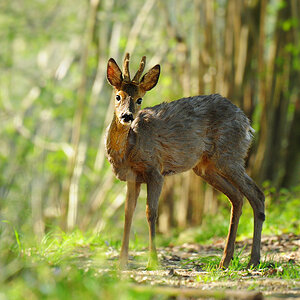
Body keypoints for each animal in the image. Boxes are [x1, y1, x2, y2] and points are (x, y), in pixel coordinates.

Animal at [105, 53, 264, 270]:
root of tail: (248, 124)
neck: (131, 146)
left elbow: (151, 213)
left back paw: (253, 260)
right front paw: (121, 262)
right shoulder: (132, 178)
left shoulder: (155, 170)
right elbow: (128, 213)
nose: (126, 116)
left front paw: (153, 261)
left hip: (229, 154)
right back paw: (225, 260)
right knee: (237, 197)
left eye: (139, 99)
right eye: (118, 96)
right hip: (206, 167)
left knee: (256, 194)